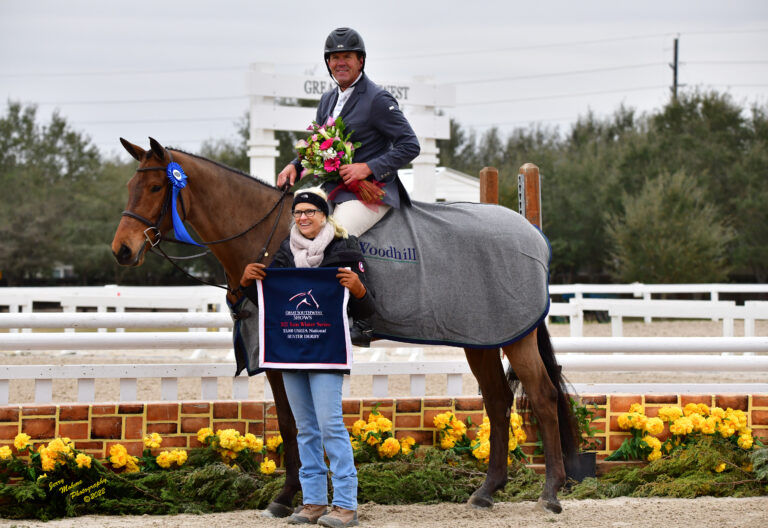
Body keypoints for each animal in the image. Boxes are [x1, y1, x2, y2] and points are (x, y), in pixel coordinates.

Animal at [108, 138, 576, 512]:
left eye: (156, 187)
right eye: (130, 187)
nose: (122, 250)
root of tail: (532, 236)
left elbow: (298, 422)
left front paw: (295, 496)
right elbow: (289, 421)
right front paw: (288, 497)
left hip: (514, 337)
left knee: (542, 395)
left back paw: (550, 493)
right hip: (481, 338)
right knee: (498, 401)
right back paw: (487, 491)